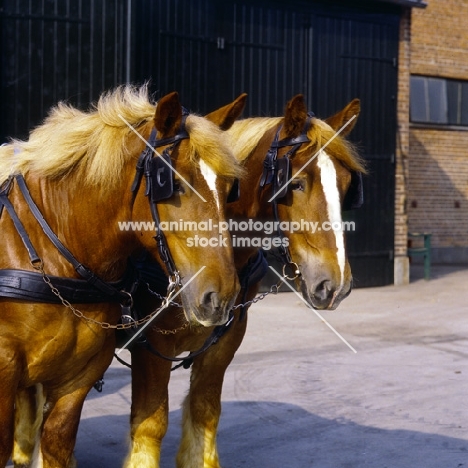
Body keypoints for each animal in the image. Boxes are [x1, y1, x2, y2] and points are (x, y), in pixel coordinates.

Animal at [0, 85, 245, 468]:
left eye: (229, 187)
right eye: (171, 183)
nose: (221, 295)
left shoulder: (80, 375)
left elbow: (57, 442)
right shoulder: (4, 367)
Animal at [125, 96, 366, 468]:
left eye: (344, 185)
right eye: (296, 183)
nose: (335, 284)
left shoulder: (225, 341)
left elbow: (204, 412)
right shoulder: (151, 345)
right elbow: (150, 423)